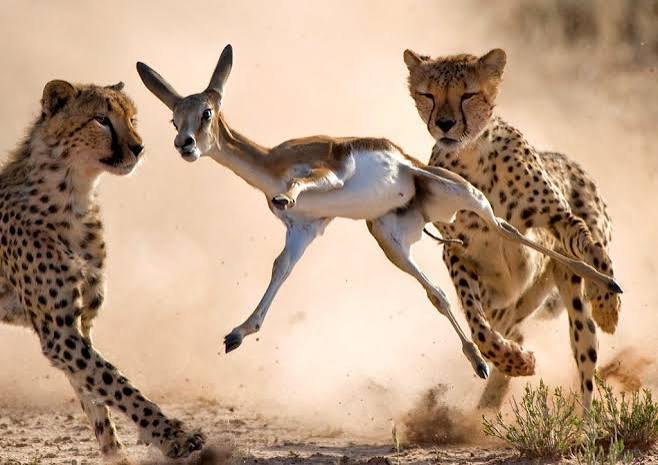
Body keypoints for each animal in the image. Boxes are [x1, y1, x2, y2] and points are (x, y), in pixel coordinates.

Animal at [0, 79, 205, 459]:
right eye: (101, 120)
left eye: (132, 118)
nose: (139, 147)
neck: (74, 195)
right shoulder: (59, 332)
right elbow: (114, 382)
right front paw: (173, 435)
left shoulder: (79, 325)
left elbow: (95, 395)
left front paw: (115, 454)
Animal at [403, 48, 621, 409]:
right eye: (428, 95)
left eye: (468, 94)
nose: (445, 124)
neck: (472, 153)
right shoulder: (456, 251)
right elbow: (477, 327)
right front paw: (516, 361)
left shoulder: (559, 220)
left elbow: (595, 252)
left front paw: (608, 306)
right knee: (508, 327)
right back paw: (490, 401)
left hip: (570, 300)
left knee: (585, 357)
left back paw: (587, 418)